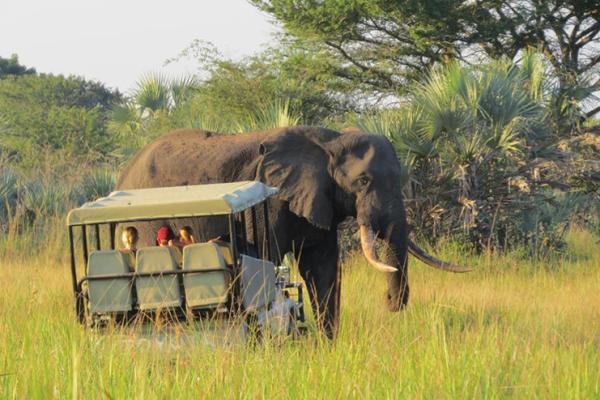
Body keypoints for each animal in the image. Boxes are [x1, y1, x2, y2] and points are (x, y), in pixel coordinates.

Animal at [115, 125, 466, 338]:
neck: (330, 142)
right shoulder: (270, 202)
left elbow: (322, 268)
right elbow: (265, 260)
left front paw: (326, 348)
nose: (390, 302)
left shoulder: (320, 200)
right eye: (363, 181)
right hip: (146, 223)